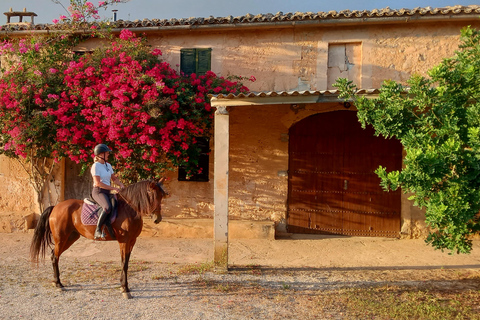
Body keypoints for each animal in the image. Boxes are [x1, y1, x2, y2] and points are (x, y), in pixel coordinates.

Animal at [30, 179, 168, 298]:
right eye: (153, 195)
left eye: (161, 196)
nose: (157, 219)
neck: (129, 209)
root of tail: (55, 207)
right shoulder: (124, 241)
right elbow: (124, 263)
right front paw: (125, 289)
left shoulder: (132, 241)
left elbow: (126, 263)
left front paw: (124, 286)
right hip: (61, 238)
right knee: (55, 256)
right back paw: (58, 284)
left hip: (70, 238)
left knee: (54, 255)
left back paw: (57, 282)